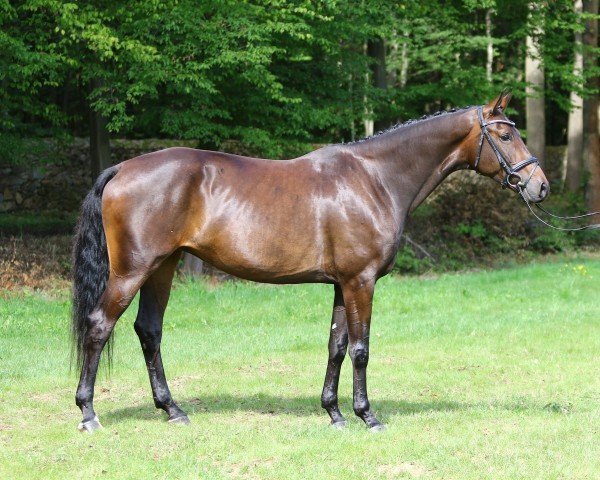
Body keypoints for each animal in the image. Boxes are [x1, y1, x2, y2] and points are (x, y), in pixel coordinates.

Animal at [71, 92, 548, 434]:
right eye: (506, 136)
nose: (539, 186)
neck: (374, 178)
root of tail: (121, 168)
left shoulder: (341, 283)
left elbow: (336, 346)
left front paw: (334, 414)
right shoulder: (361, 282)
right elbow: (360, 349)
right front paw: (367, 416)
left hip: (163, 268)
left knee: (149, 331)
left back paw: (173, 410)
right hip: (133, 271)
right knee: (98, 326)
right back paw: (88, 413)